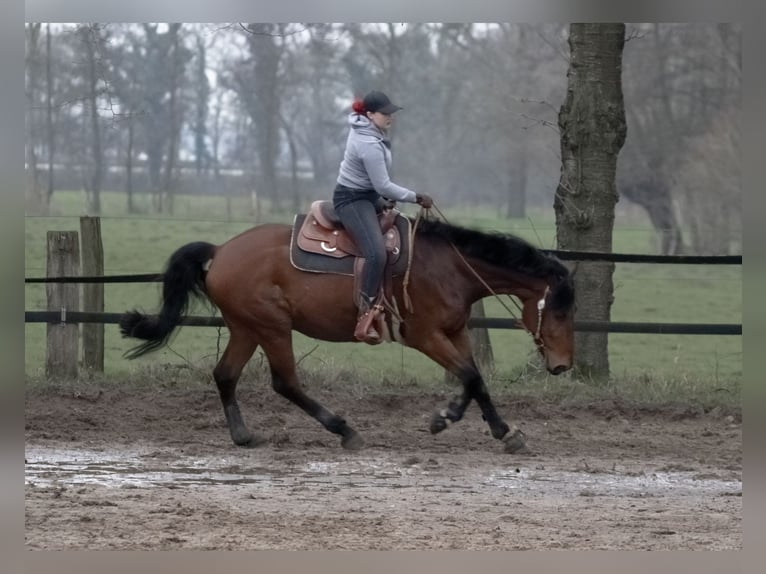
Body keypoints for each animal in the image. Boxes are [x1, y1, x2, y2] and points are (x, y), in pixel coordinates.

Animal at [120, 215, 576, 454]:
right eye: (560, 309)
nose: (562, 365)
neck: (448, 267)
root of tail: (220, 251)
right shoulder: (425, 336)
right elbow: (469, 376)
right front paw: (453, 420)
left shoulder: (455, 332)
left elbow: (474, 379)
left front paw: (489, 427)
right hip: (272, 327)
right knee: (285, 382)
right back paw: (344, 430)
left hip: (245, 328)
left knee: (225, 375)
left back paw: (243, 434)